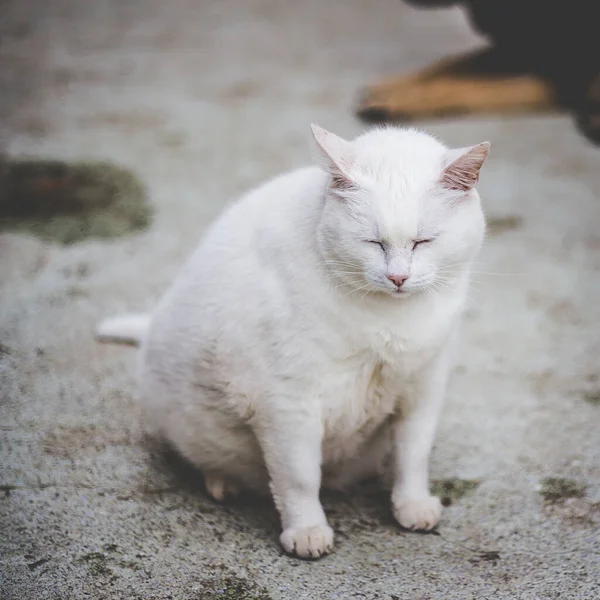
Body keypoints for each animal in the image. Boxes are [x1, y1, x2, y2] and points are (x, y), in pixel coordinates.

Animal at [97, 124, 488, 560]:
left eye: (423, 242)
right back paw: (223, 483)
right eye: (374, 243)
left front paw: (413, 506)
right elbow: (299, 478)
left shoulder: (423, 388)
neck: (388, 319)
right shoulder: (287, 403)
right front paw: (306, 532)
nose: (398, 277)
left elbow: (413, 457)